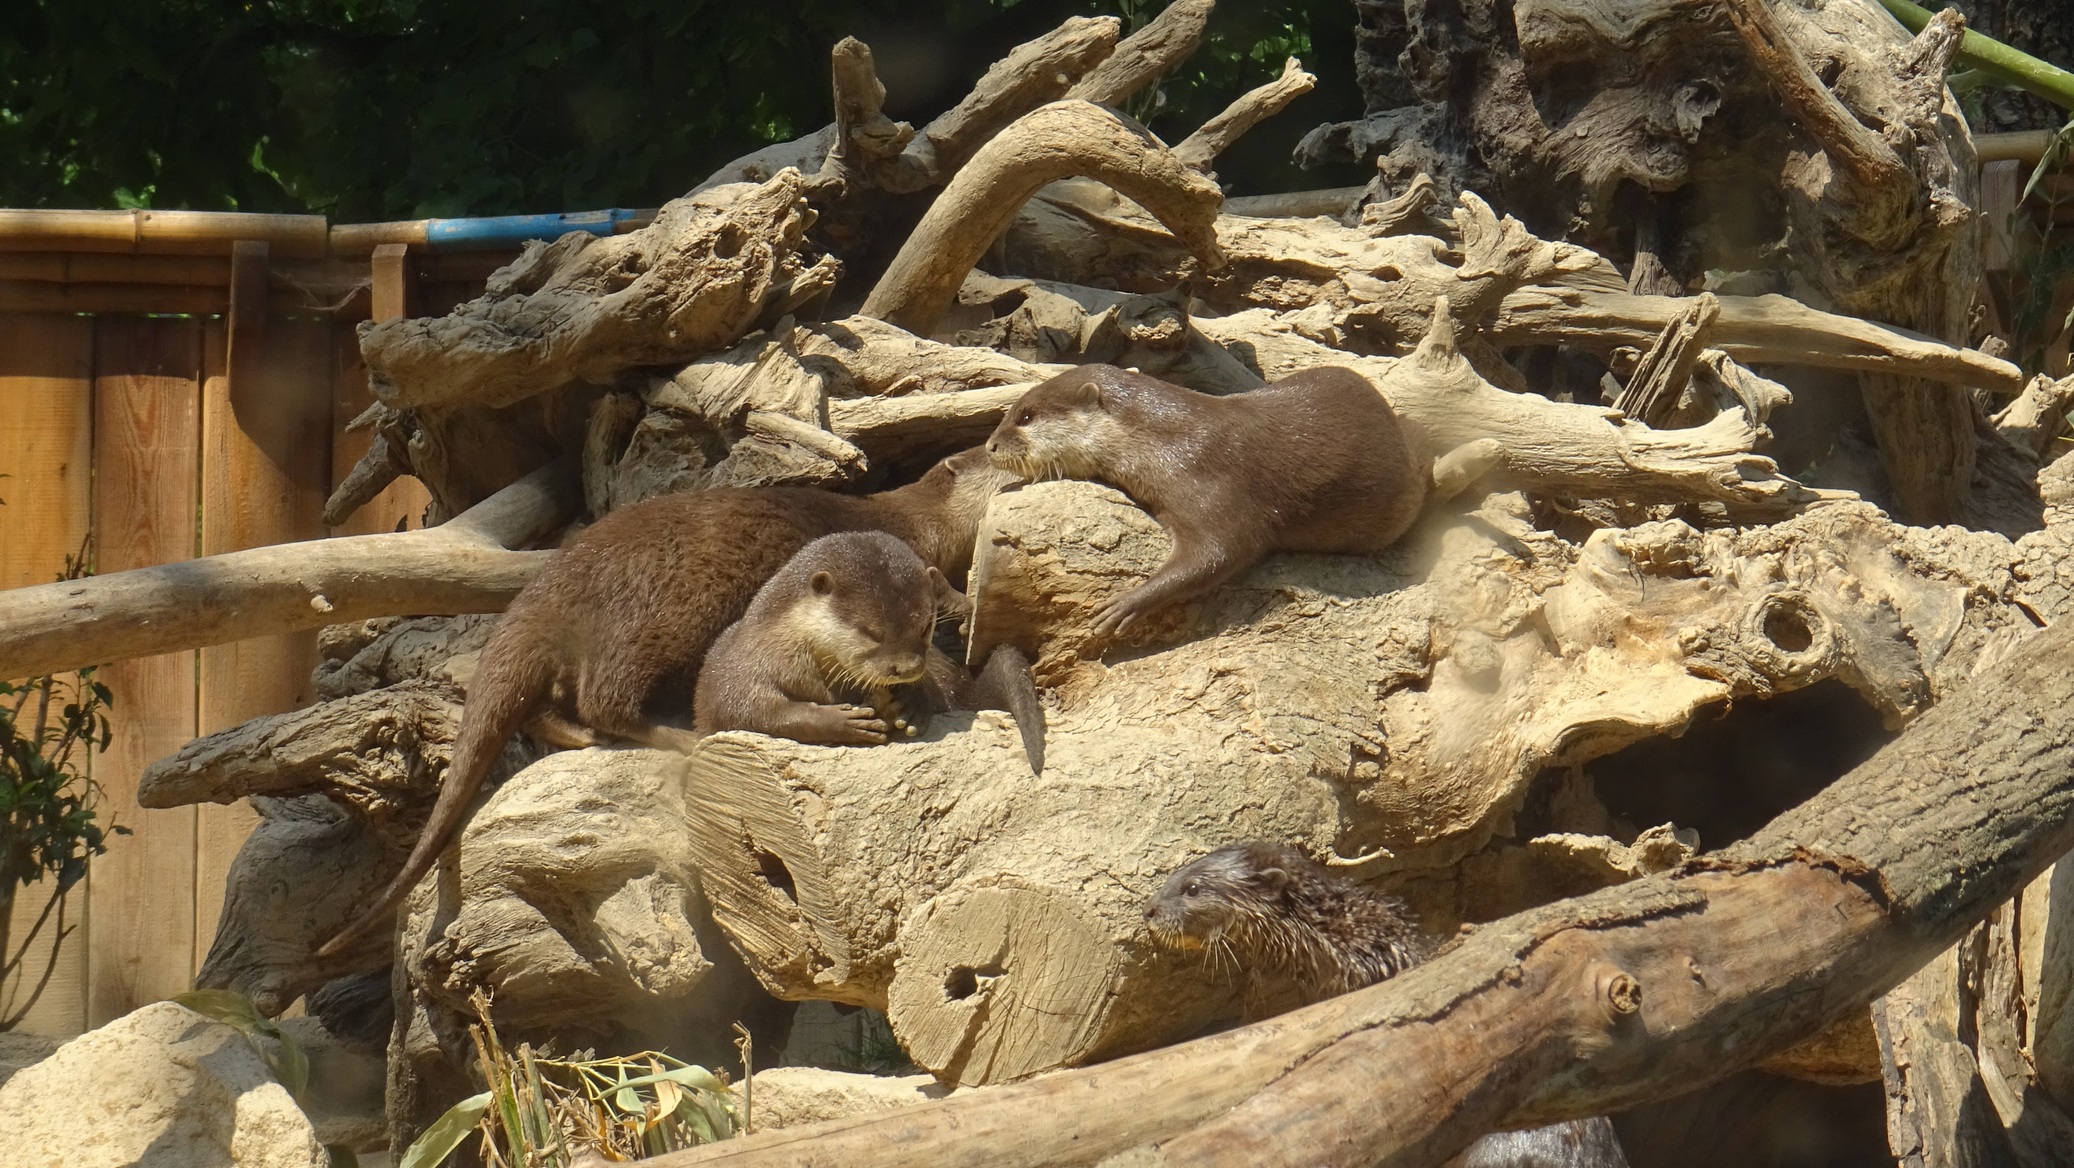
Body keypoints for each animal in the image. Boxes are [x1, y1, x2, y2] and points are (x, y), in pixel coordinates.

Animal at [693, 531, 1045, 772]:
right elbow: (752, 712)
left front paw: (911, 702)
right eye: (871, 632)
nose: (907, 669)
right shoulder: (744, 668)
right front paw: (841, 722)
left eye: (924, 627)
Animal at [985, 365, 1430, 637]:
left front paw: (1126, 603)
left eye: (1025, 417)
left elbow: (1224, 550)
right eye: (1011, 412)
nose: (989, 446)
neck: (1163, 438)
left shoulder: (1208, 478)